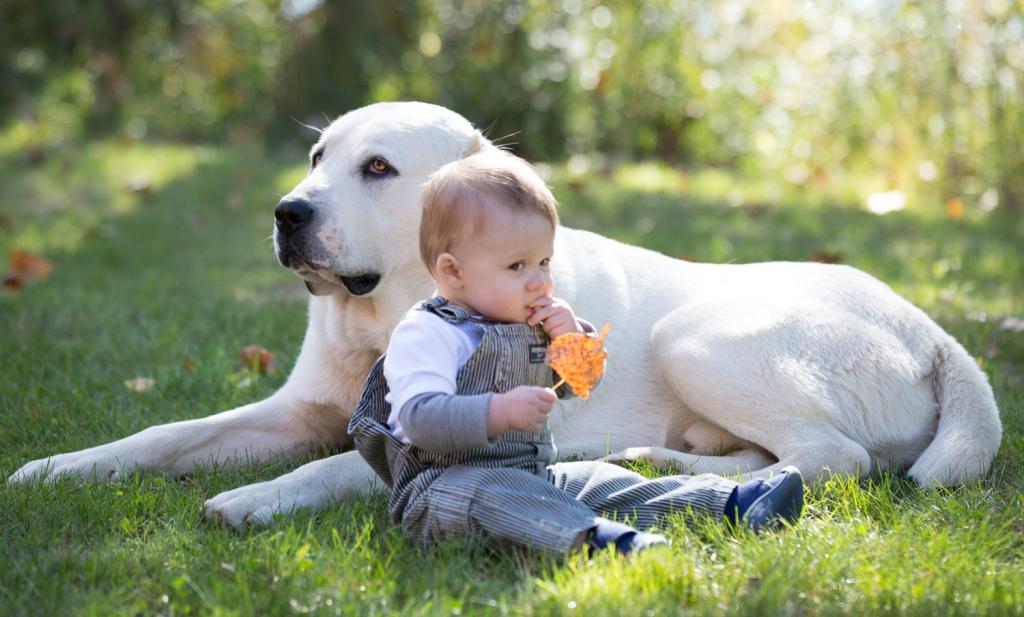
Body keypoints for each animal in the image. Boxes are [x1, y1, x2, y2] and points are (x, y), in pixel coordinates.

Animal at [8, 103, 999, 527]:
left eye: (378, 168)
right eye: (320, 158)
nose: (289, 213)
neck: (390, 311)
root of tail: (936, 331)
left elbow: (335, 469)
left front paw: (257, 496)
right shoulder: (292, 410)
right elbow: (163, 434)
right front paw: (57, 466)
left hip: (698, 334)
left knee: (835, 456)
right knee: (770, 456)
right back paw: (654, 458)